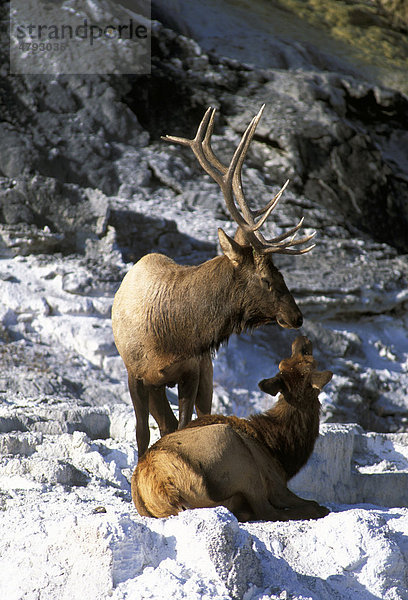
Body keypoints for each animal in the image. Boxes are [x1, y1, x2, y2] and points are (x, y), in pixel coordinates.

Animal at [111, 106, 316, 454]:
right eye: (266, 278)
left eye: (281, 274)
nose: (296, 317)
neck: (171, 336)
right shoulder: (135, 373)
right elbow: (142, 432)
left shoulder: (192, 370)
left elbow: (183, 425)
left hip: (206, 371)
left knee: (191, 417)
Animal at [132, 336, 334, 524]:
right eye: (310, 360)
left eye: (284, 362)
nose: (301, 339)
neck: (283, 452)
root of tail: (165, 490)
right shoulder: (276, 482)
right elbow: (302, 501)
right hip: (238, 451)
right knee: (268, 511)